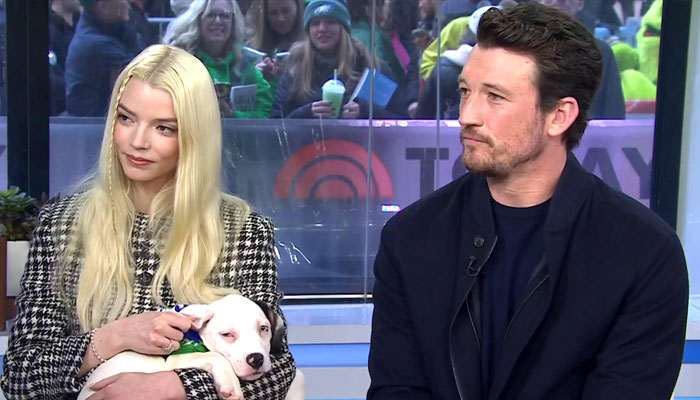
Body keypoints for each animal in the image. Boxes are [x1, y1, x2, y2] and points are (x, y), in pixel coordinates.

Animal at [78, 294, 304, 400]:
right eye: (227, 335)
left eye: (263, 329)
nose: (256, 359)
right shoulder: (171, 361)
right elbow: (216, 356)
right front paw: (230, 385)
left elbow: (299, 375)